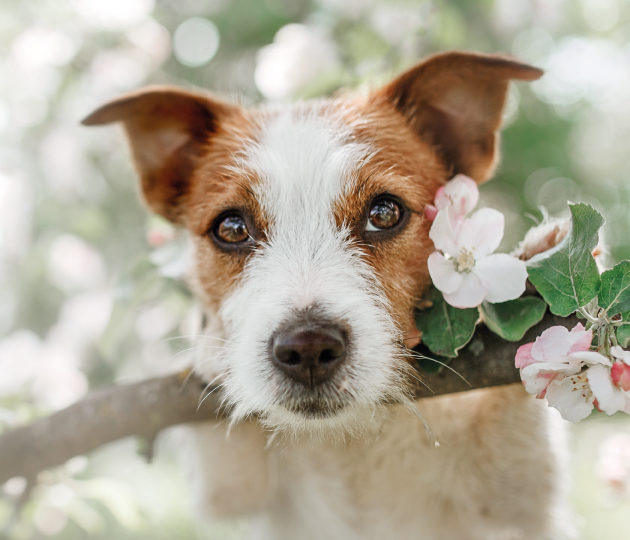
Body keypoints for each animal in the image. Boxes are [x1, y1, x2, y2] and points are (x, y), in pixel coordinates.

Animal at [82, 51, 572, 540]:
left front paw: (536, 268)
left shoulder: (516, 501)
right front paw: (210, 345)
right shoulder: (236, 489)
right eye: (232, 228)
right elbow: (228, 474)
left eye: (384, 213)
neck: (350, 442)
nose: (308, 347)